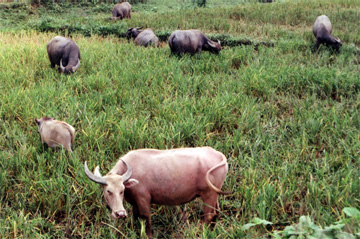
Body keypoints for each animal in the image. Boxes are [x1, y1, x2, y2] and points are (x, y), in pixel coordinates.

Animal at [84, 147, 228, 238]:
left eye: (122, 190)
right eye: (108, 191)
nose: (120, 214)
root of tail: (217, 154)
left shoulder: (143, 200)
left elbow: (146, 220)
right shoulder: (134, 203)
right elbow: (136, 218)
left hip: (208, 195)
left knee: (208, 216)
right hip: (214, 195)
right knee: (216, 213)